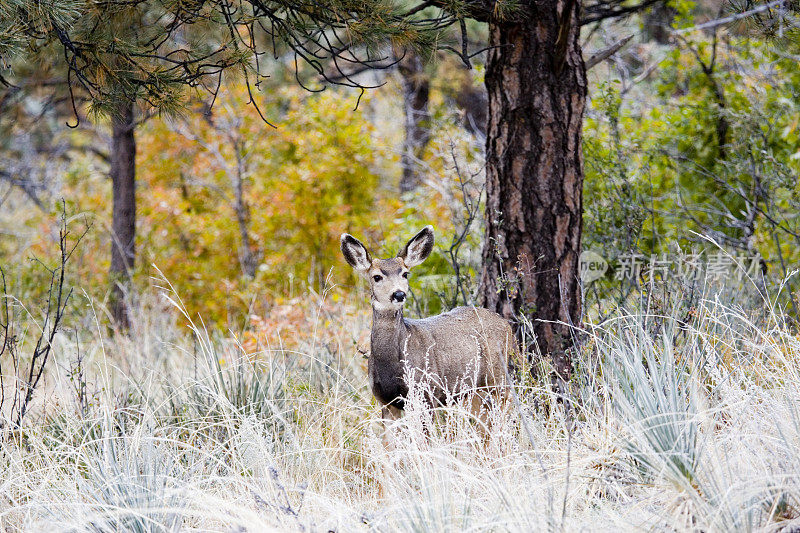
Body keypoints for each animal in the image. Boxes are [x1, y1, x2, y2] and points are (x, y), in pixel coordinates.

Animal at [340, 224, 520, 432]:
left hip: (497, 377)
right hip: (472, 390)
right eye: (377, 277)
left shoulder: (427, 393)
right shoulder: (385, 401)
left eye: (405, 273)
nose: (399, 294)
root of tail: (506, 324)